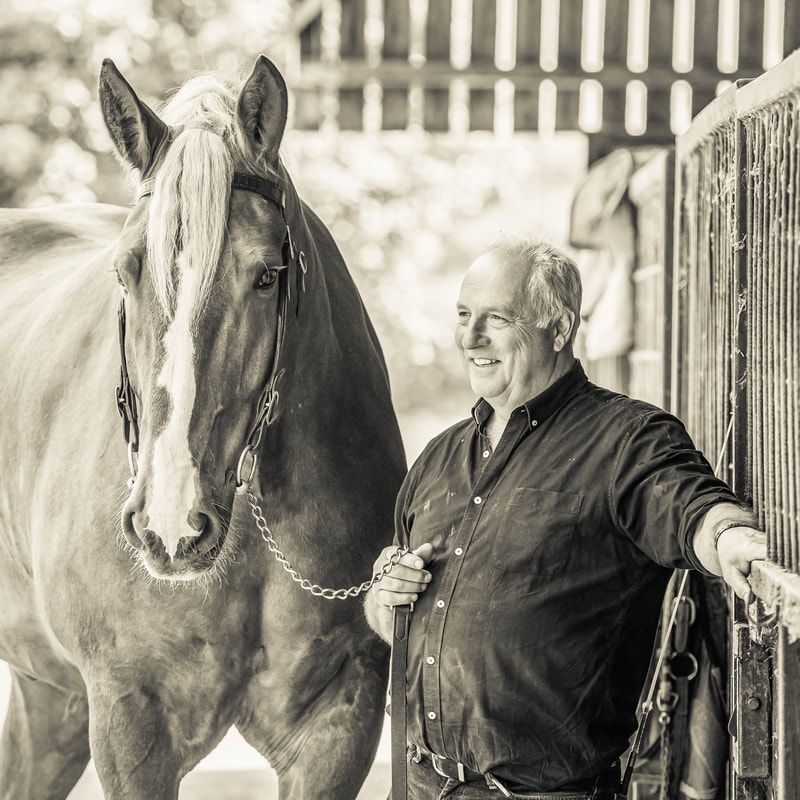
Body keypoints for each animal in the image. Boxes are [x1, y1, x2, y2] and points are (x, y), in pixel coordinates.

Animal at [0, 55, 406, 799]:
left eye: (267, 276)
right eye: (124, 271)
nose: (171, 525)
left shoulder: (340, 722)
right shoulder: (131, 724)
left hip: (53, 695)